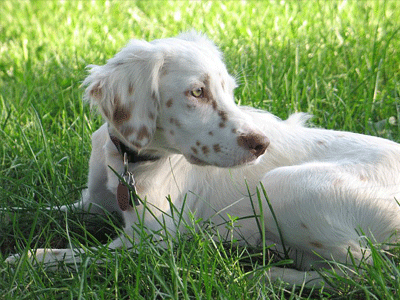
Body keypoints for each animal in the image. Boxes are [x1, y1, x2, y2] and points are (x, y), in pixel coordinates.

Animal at [5, 31, 400, 286]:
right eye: (197, 92)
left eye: (229, 91)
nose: (263, 144)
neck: (128, 160)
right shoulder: (92, 205)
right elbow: (25, 211)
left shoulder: (150, 243)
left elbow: (75, 254)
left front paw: (25, 260)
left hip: (283, 185)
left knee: (364, 269)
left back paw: (262, 274)